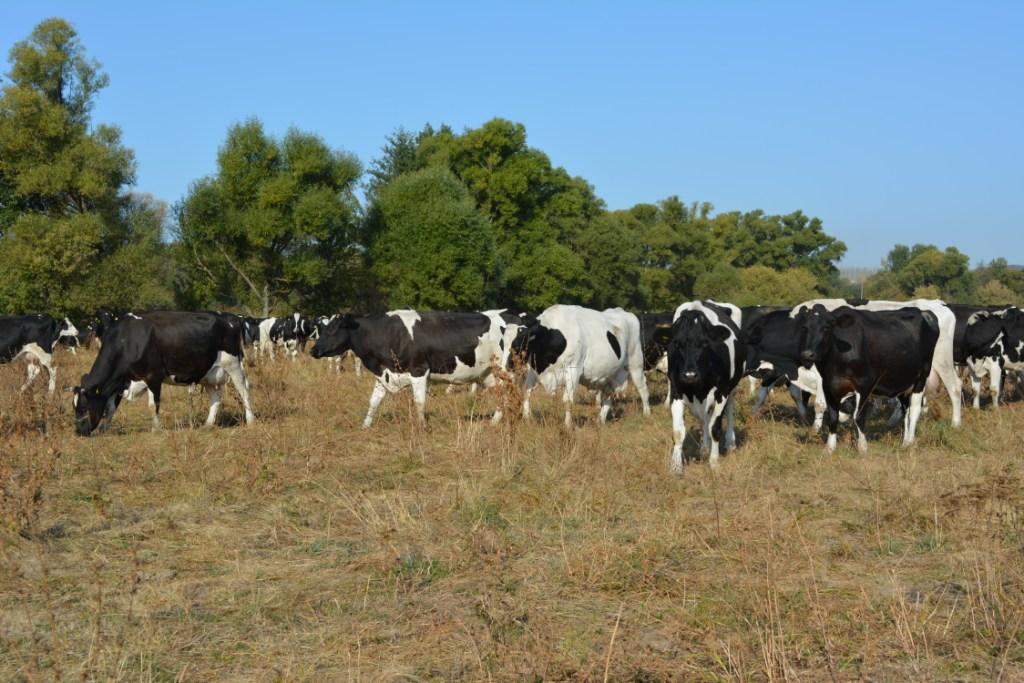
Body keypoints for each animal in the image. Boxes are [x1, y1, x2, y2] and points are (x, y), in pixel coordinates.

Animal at [72, 313, 253, 436]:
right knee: (216, 399)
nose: (79, 431)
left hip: (233, 365)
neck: (127, 340)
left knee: (244, 392)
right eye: (74, 408)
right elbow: (110, 407)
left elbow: (153, 405)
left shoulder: (153, 376)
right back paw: (207, 425)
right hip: (208, 374)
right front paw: (103, 429)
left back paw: (251, 420)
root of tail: (231, 317)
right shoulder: (119, 381)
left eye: (83, 408)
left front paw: (156, 429)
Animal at [307, 309, 520, 428]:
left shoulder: (419, 371)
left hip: (505, 369)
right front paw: (365, 426)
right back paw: (494, 421)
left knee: (513, 394)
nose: (313, 350)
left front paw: (422, 427)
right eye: (322, 328)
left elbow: (419, 402)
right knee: (500, 395)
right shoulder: (384, 374)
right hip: (488, 374)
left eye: (333, 329)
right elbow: (373, 402)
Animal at [516, 305, 651, 428]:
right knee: (608, 395)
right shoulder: (533, 370)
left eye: (523, 333)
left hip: (635, 363)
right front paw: (527, 419)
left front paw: (568, 426)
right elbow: (526, 392)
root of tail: (622, 311)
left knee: (642, 388)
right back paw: (600, 420)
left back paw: (647, 414)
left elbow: (568, 400)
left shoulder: (573, 370)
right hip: (611, 373)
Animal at [655, 301, 745, 473]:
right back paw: (704, 447)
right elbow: (678, 432)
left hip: (732, 388)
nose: (690, 375)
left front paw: (714, 463)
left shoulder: (721, 392)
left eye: (704, 343)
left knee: (729, 411)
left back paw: (730, 443)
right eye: (677, 344)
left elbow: (715, 428)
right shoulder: (676, 392)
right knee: (705, 419)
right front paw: (676, 467)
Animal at [794, 305, 937, 454]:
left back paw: (909, 442)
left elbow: (859, 416)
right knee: (906, 411)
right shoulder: (828, 385)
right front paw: (830, 448)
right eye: (805, 327)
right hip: (902, 382)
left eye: (826, 328)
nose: (807, 354)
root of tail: (921, 311)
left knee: (914, 410)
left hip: (921, 378)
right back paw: (904, 443)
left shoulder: (865, 384)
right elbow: (833, 417)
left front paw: (862, 447)